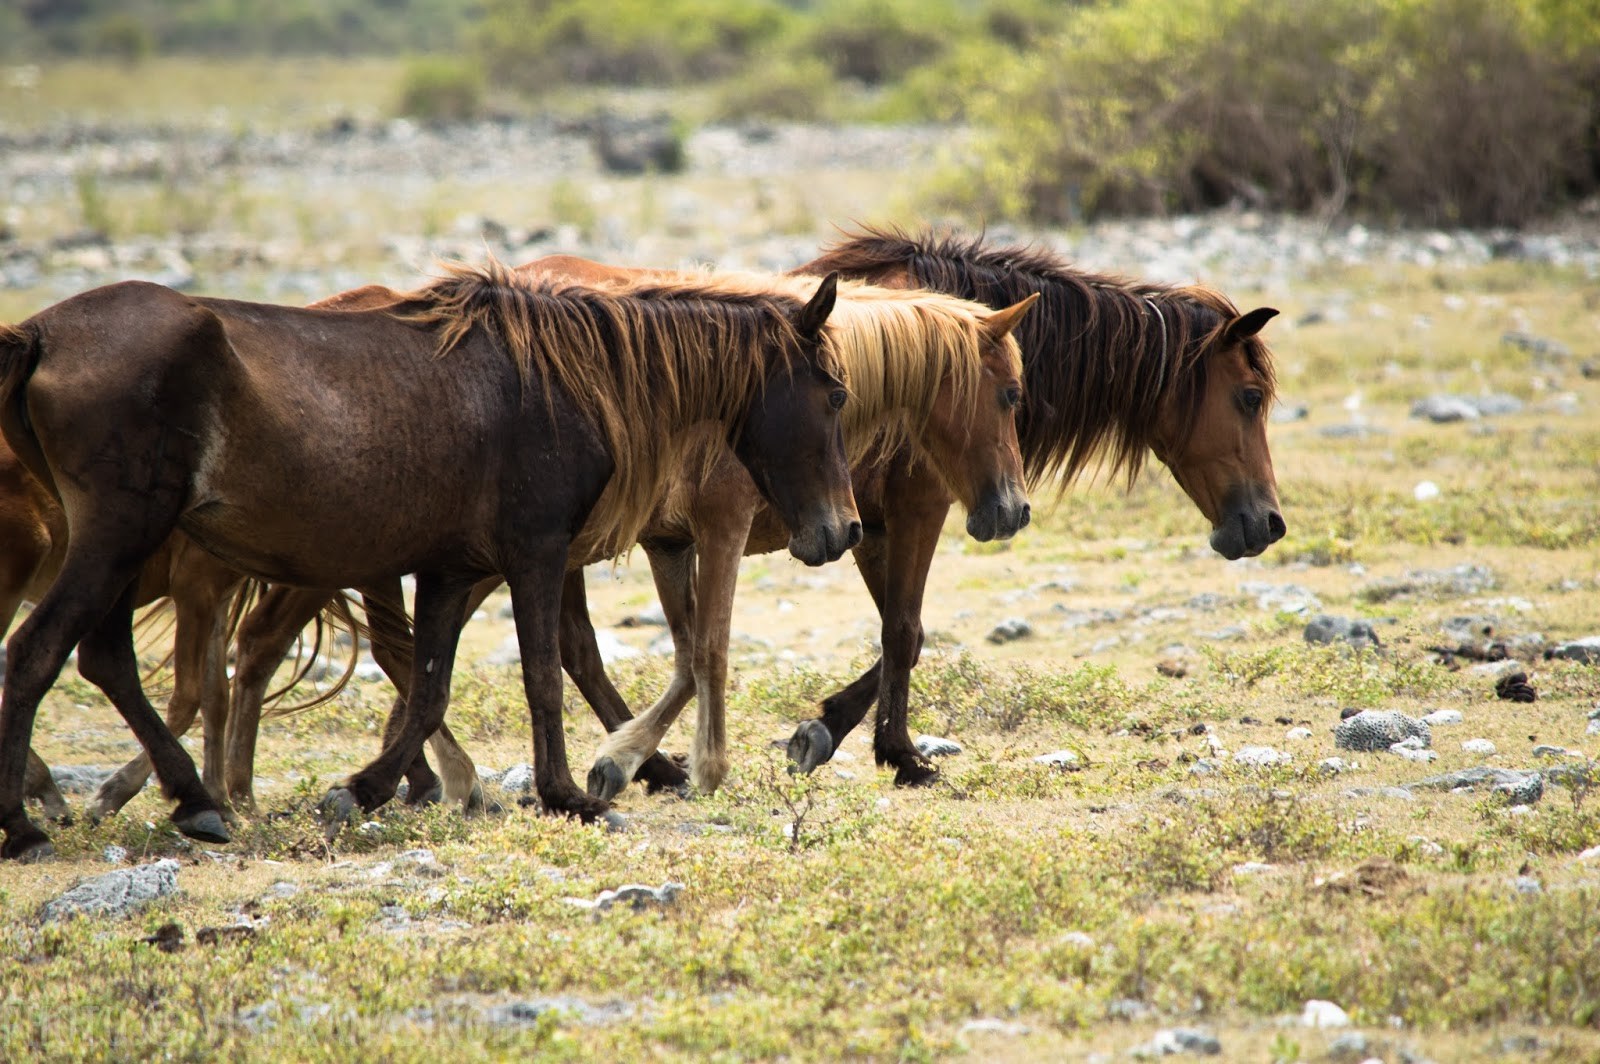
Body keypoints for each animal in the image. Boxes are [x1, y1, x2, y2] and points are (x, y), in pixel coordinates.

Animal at [0, 260, 864, 857]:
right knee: (39, 653)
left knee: (105, 659)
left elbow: (428, 686)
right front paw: (567, 795)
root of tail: (43, 334)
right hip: (118, 538)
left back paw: (193, 800)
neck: (565, 383)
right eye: (834, 394)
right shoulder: (537, 553)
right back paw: (29, 826)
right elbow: (543, 678)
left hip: (123, 549)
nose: (844, 531)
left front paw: (364, 790)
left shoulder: (454, 570)